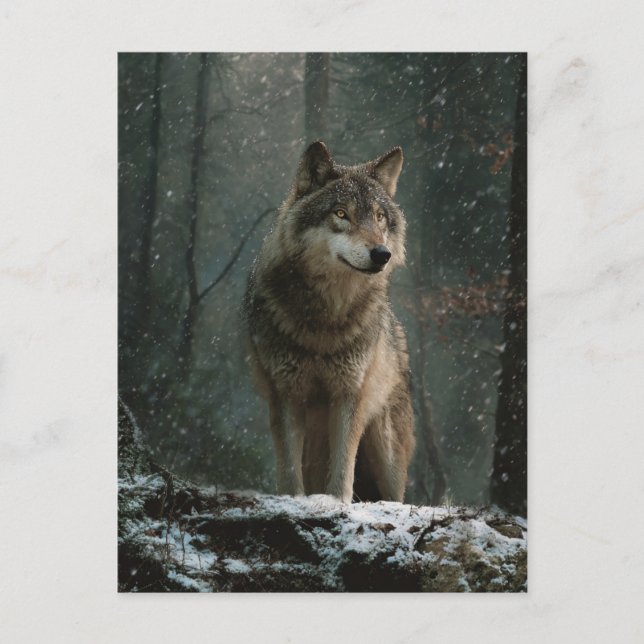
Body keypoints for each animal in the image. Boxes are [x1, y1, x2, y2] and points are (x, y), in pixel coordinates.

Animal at [244, 141, 415, 503]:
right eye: (340, 214)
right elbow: (289, 470)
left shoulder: (349, 395)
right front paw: (296, 502)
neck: (325, 320)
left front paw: (337, 503)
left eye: (379, 217)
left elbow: (342, 470)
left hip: (387, 453)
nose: (382, 254)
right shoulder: (286, 394)